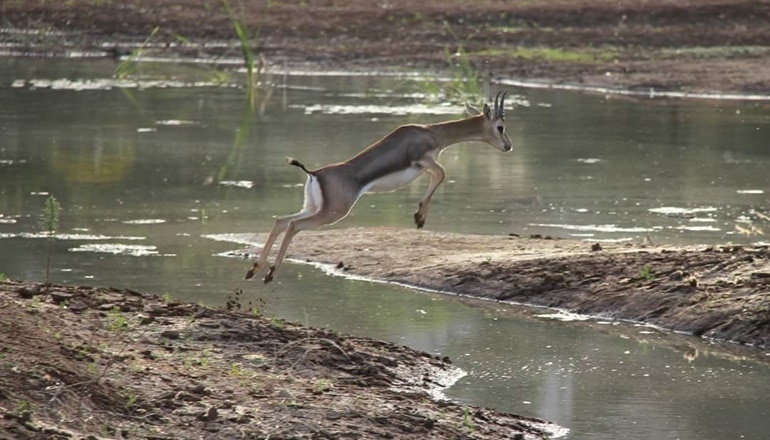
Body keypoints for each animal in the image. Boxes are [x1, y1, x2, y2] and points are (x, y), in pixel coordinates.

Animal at [246, 91, 513, 283]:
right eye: (500, 126)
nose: (508, 146)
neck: (433, 132)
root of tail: (314, 173)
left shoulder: (424, 168)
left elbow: (438, 176)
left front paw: (419, 216)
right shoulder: (424, 161)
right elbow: (443, 174)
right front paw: (419, 217)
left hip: (312, 207)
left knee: (281, 221)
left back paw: (254, 270)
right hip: (332, 213)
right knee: (293, 226)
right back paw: (269, 273)